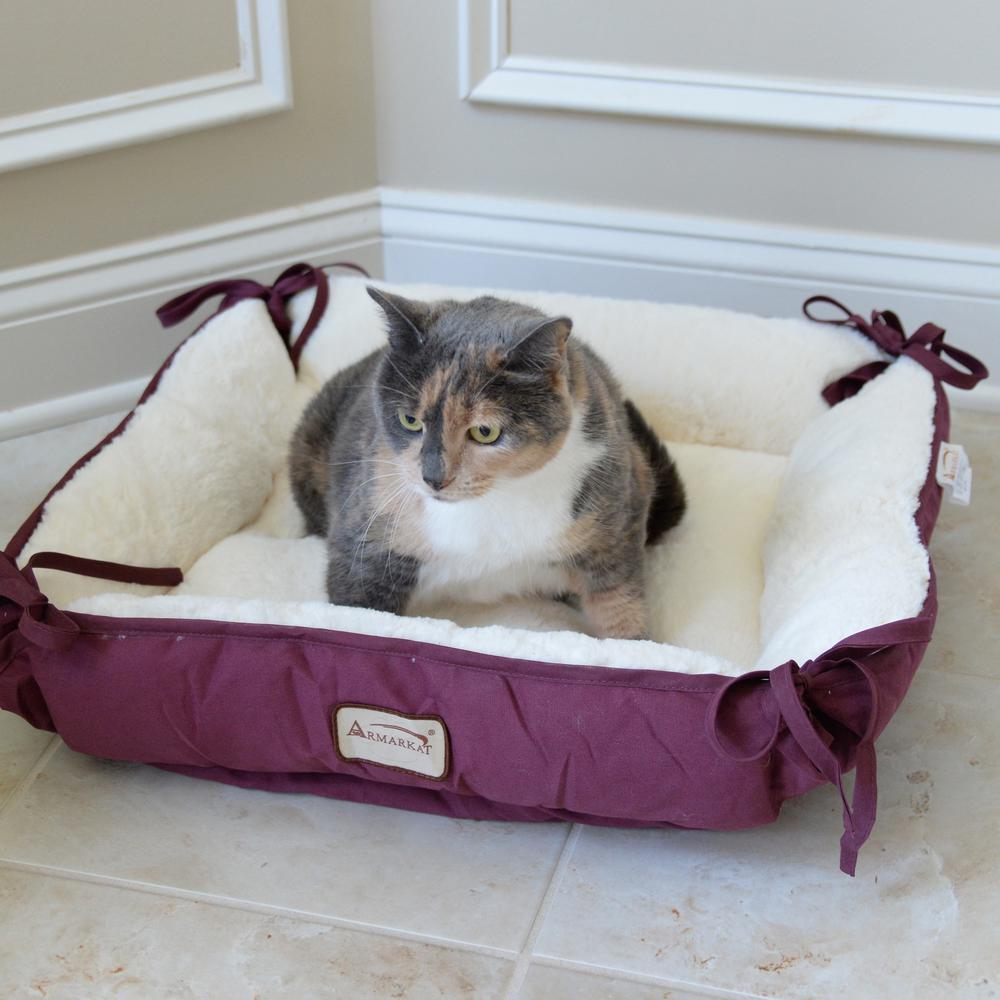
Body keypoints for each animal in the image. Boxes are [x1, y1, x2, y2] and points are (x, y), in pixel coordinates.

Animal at [286, 288, 684, 640]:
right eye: (410, 420)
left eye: (485, 431)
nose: (433, 477)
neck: (492, 503)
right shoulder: (369, 531)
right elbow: (360, 618)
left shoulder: (617, 514)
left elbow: (621, 606)